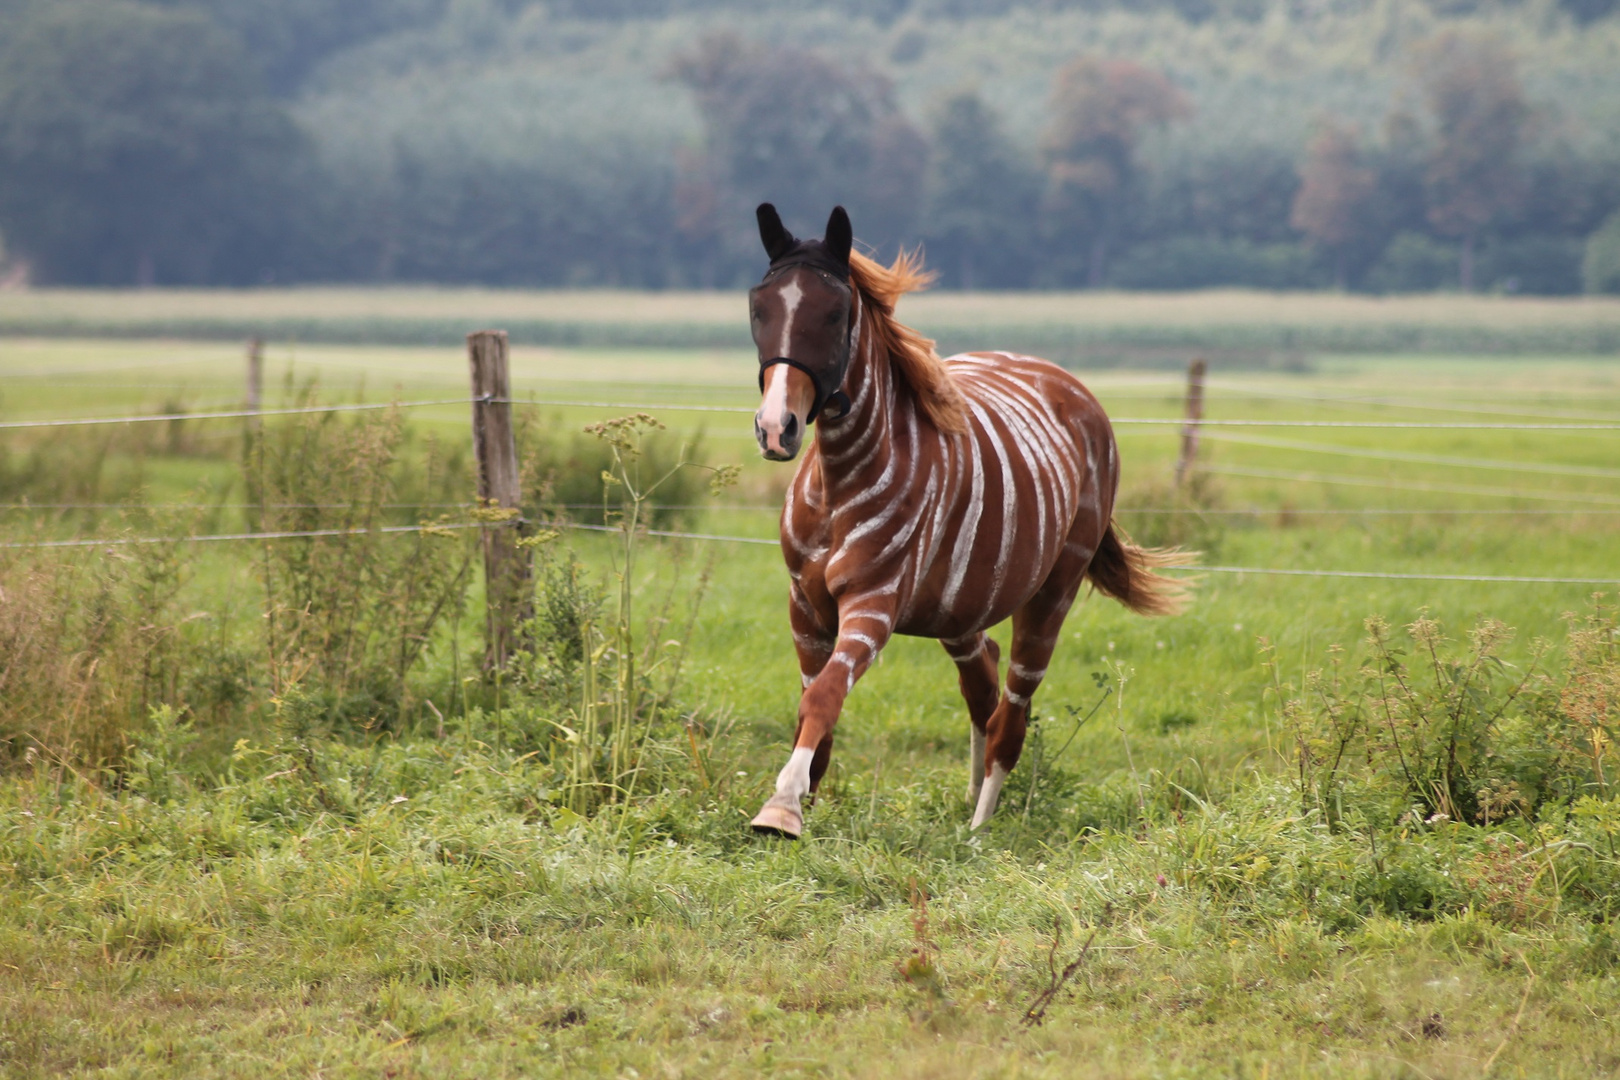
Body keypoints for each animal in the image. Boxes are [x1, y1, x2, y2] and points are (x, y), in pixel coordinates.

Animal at [745, 207, 1192, 841]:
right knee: (983, 684)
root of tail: (1064, 381)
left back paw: (981, 825)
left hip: (1052, 593)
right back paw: (972, 797)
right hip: (960, 607)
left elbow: (824, 698)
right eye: (759, 307)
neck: (837, 480)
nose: (775, 428)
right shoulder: (804, 606)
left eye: (834, 313)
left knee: (1012, 713)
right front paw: (802, 797)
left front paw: (782, 807)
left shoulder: (873, 604)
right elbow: (815, 715)